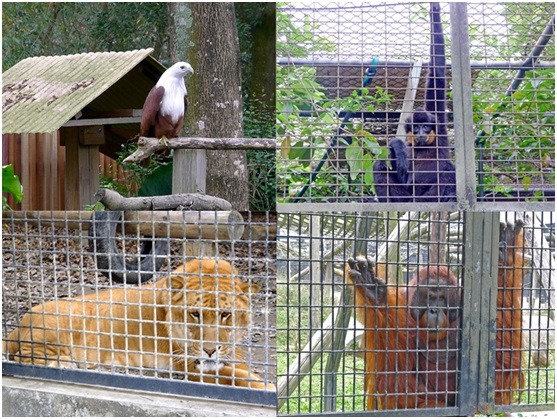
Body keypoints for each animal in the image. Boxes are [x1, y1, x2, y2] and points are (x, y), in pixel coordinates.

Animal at [3, 258, 274, 392]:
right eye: (195, 314)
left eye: (226, 314)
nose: (209, 350)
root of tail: (19, 323)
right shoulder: (190, 366)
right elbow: (237, 378)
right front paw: (268, 387)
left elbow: (243, 369)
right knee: (26, 357)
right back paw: (67, 365)